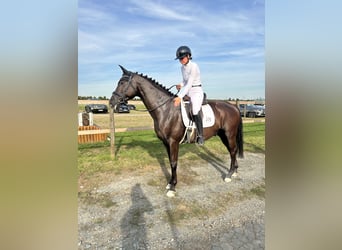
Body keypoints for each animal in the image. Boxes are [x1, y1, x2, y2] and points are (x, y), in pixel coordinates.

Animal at [109, 65, 243, 196]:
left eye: (122, 83)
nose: (111, 102)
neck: (165, 109)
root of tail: (233, 106)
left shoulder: (173, 142)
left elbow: (174, 163)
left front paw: (172, 188)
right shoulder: (166, 142)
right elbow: (170, 162)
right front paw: (170, 183)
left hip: (229, 134)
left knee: (232, 150)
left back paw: (229, 175)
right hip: (223, 135)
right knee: (233, 150)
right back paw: (234, 171)